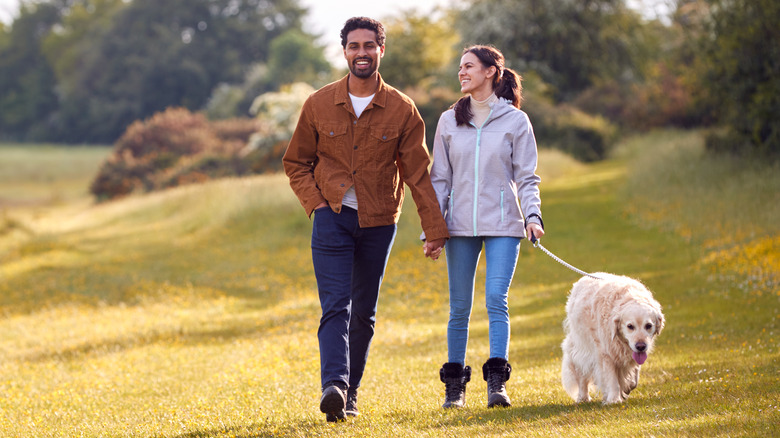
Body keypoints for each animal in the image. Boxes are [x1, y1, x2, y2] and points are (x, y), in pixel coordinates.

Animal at [560, 274, 664, 404]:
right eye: (630, 326)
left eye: (648, 326)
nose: (640, 346)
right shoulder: (605, 353)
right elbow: (612, 379)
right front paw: (614, 399)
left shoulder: (634, 354)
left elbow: (634, 378)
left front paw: (626, 388)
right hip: (581, 348)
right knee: (581, 375)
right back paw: (583, 397)